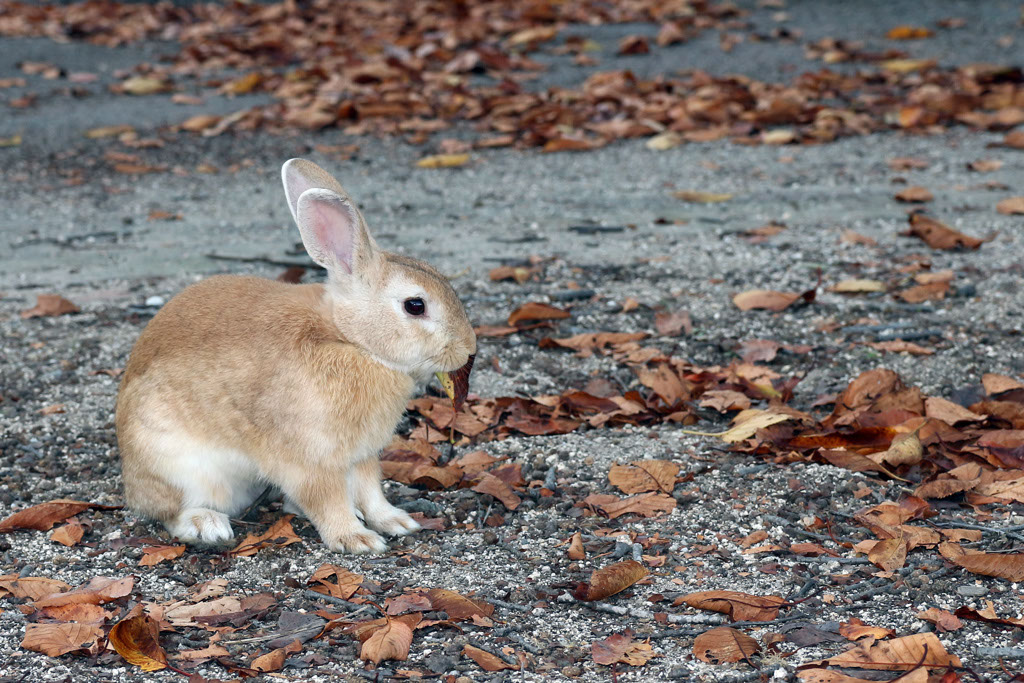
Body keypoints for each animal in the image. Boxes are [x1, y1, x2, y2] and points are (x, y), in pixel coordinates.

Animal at [115, 158, 476, 553]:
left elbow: (370, 491)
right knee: (169, 511)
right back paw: (206, 525)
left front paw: (397, 522)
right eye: (415, 306)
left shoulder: (361, 455)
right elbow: (327, 499)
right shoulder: (309, 460)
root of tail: (131, 480)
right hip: (180, 467)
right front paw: (357, 539)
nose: (468, 347)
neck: (348, 339)